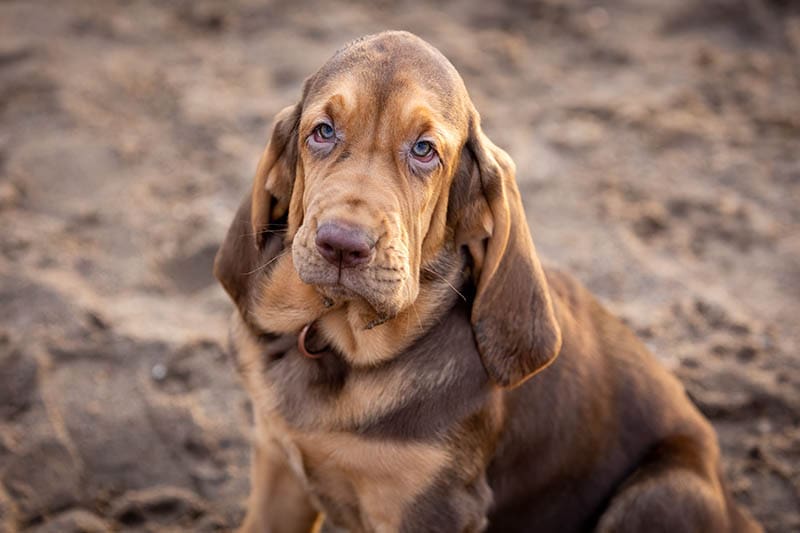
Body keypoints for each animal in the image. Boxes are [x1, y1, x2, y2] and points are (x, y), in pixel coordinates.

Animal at [214, 32, 764, 532]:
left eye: (424, 150)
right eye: (323, 132)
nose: (343, 245)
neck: (336, 347)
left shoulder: (434, 510)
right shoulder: (278, 468)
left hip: (662, 492)